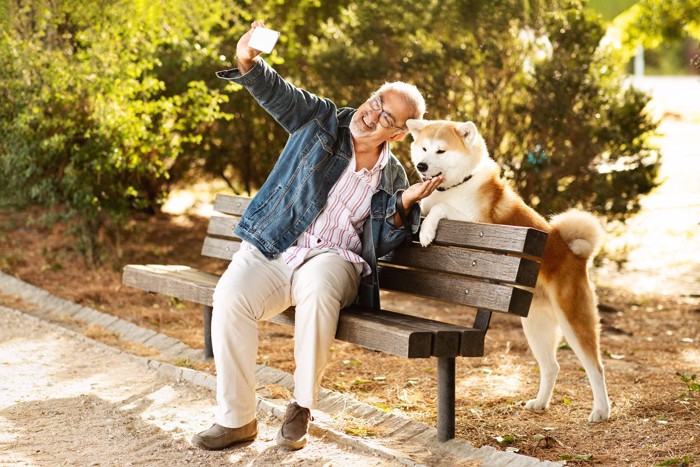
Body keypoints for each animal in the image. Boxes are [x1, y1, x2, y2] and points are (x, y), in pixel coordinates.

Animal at [408, 118, 608, 424]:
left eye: (440, 151)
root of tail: (576, 256)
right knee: (552, 367)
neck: (458, 185)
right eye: (423, 148)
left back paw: (601, 410)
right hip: (535, 326)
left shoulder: (476, 221)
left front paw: (428, 229)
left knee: (595, 367)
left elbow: (440, 208)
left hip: (573, 320)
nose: (421, 166)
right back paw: (541, 402)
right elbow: (422, 205)